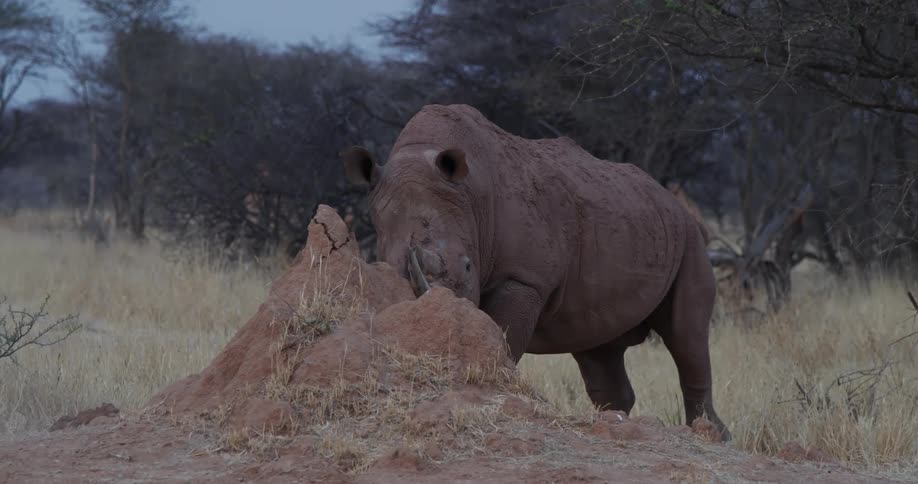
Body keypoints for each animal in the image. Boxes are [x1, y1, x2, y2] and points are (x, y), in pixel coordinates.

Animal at [340, 104, 730, 440]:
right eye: (391, 268)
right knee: (598, 348)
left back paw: (712, 434)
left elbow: (505, 340)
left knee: (686, 336)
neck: (469, 195)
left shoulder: (523, 279)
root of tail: (670, 199)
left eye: (468, 266)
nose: (447, 311)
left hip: (690, 238)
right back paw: (615, 421)